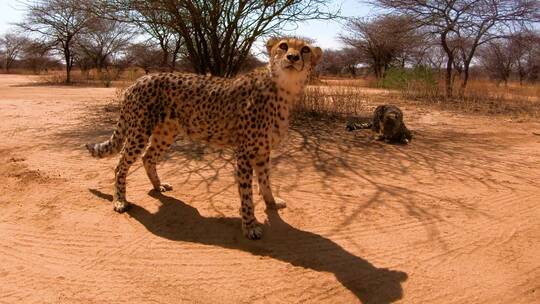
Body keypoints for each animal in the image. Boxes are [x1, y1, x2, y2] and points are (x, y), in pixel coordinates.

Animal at [84, 37, 320, 240]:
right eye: (283, 46)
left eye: (305, 50)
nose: (292, 57)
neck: (283, 88)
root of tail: (139, 80)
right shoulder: (245, 152)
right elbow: (246, 193)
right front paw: (250, 225)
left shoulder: (263, 150)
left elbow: (265, 180)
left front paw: (271, 203)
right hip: (139, 130)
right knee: (120, 164)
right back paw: (120, 200)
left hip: (166, 132)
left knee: (148, 157)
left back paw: (158, 186)